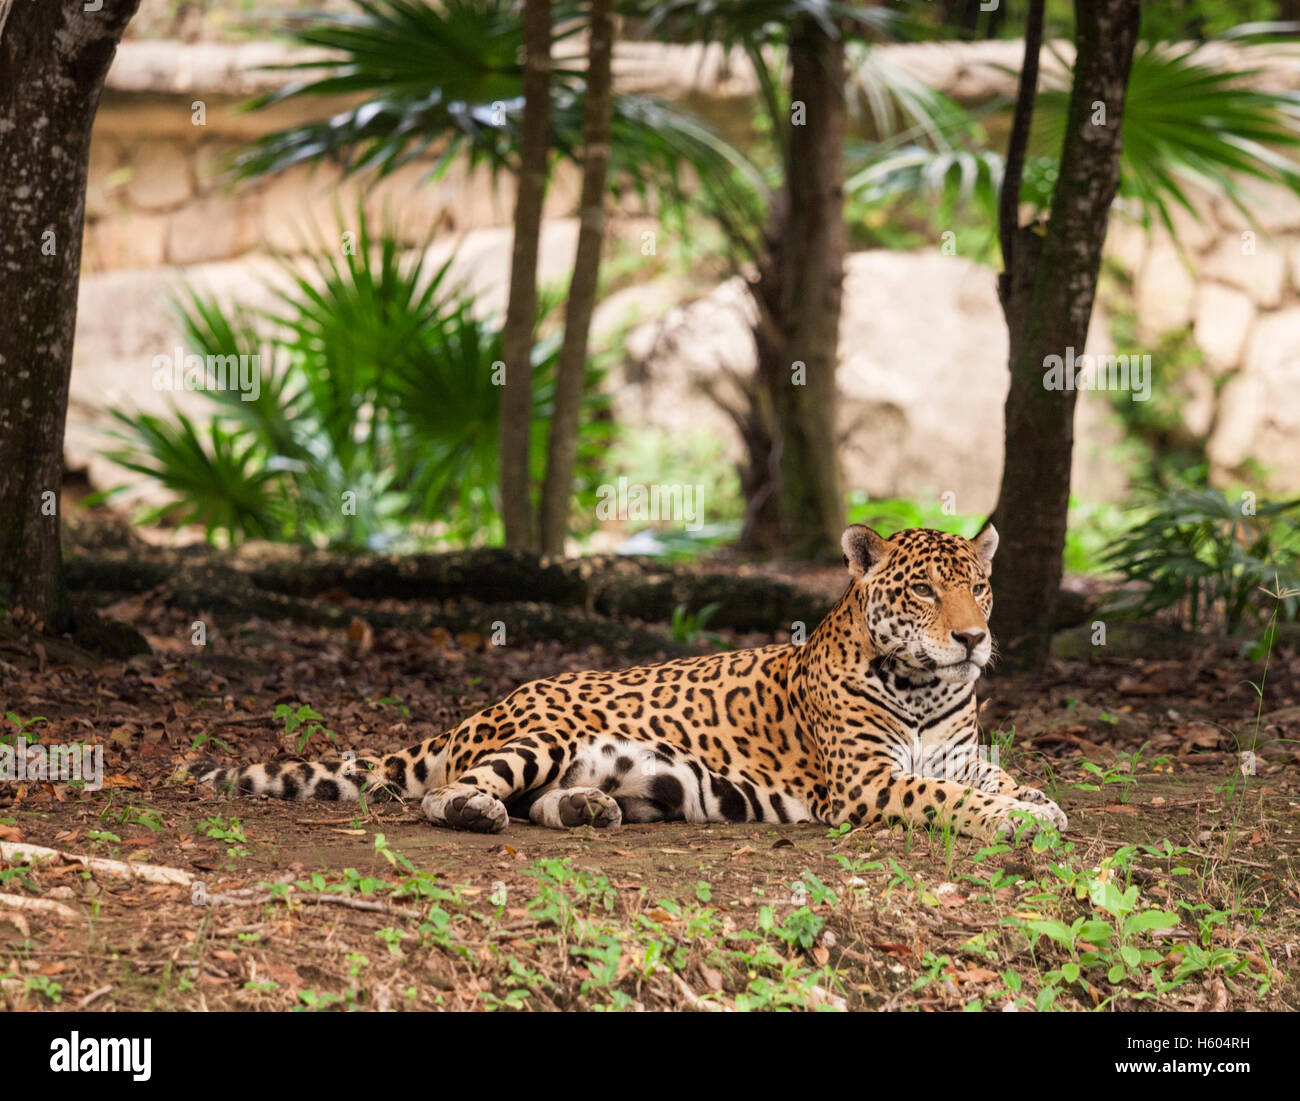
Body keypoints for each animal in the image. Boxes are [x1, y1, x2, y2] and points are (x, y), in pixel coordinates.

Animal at [191, 524, 1067, 840]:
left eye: (979, 587)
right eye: (924, 592)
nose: (974, 637)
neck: (925, 686)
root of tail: (480, 708)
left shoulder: (957, 752)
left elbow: (992, 774)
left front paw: (1036, 798)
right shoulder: (865, 781)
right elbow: (949, 798)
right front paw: (1017, 818)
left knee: (536, 801)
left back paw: (589, 807)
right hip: (543, 734)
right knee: (446, 791)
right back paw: (479, 813)